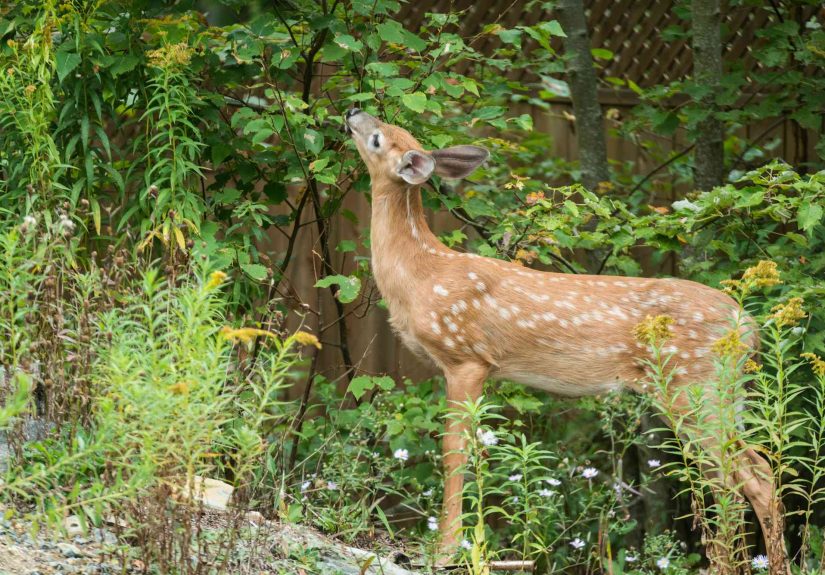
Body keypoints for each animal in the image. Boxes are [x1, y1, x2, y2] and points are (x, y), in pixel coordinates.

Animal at [343, 106, 789, 575]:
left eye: (377, 139)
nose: (353, 111)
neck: (421, 273)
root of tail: (749, 326)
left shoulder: (465, 357)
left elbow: (454, 452)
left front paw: (446, 552)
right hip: (725, 392)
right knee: (753, 471)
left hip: (692, 385)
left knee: (737, 477)